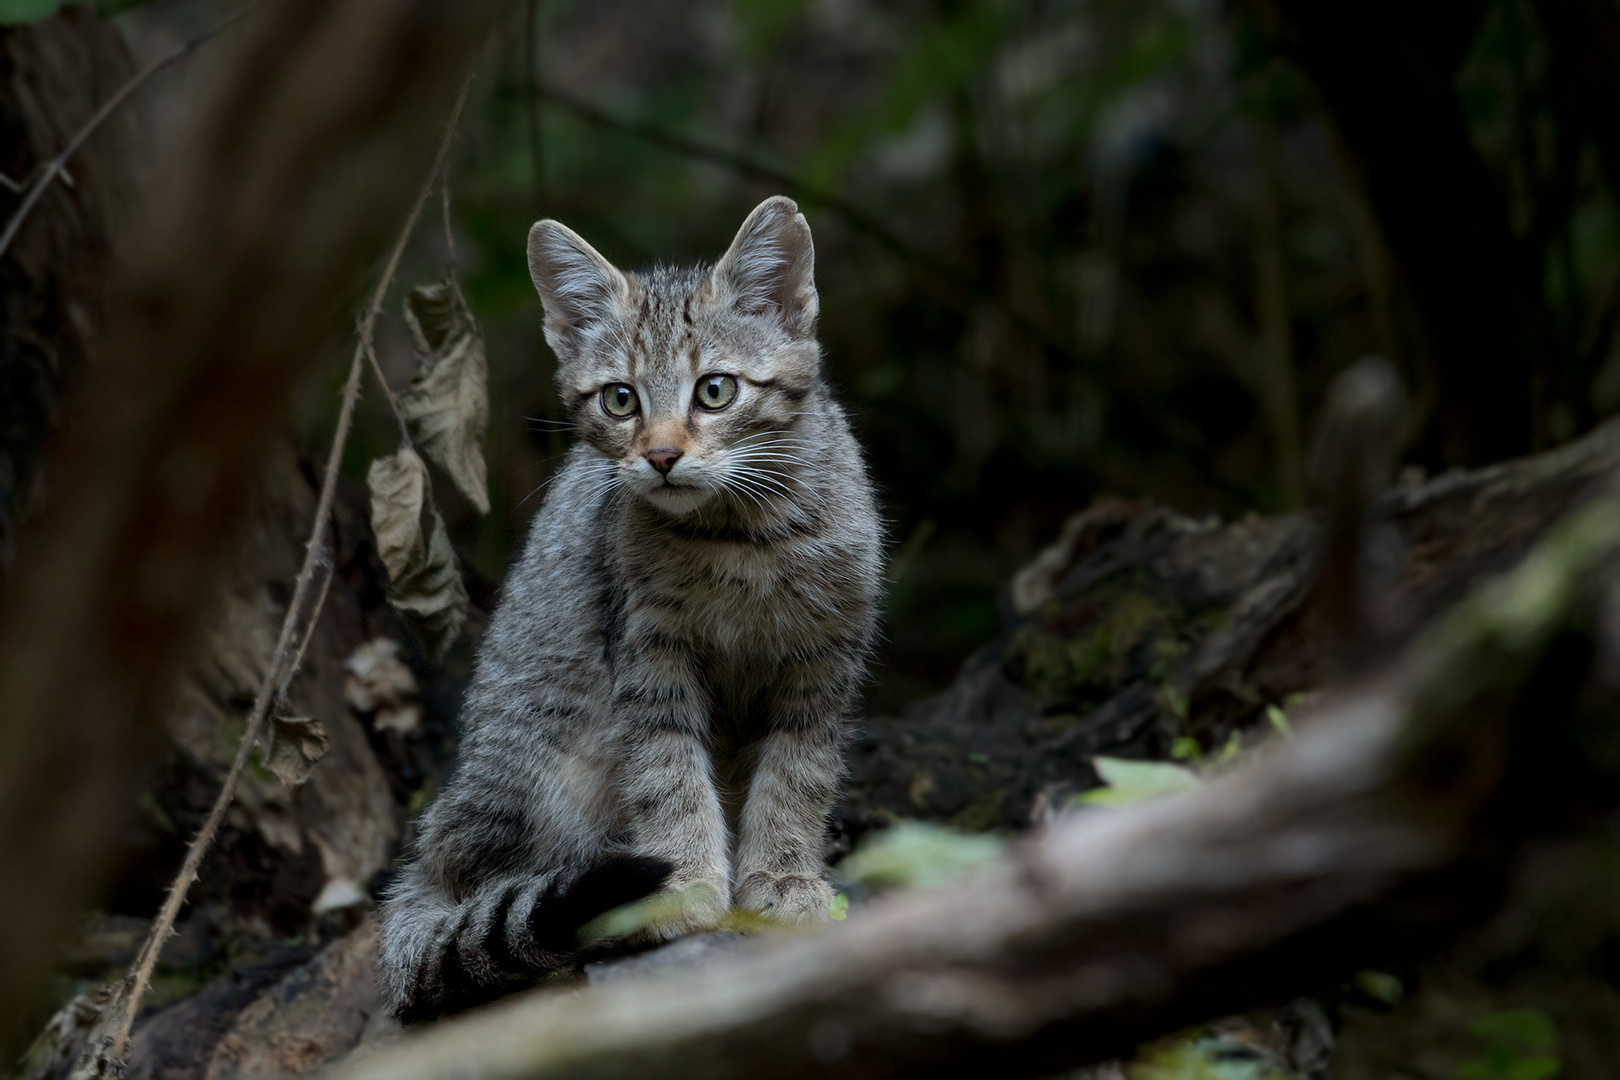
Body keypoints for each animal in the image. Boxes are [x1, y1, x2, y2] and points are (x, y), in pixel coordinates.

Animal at [375, 196, 887, 1023]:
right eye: (621, 400)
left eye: (715, 391)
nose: (661, 455)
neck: (741, 539)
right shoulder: (649, 660)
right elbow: (669, 775)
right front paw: (685, 884)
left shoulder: (823, 661)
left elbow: (798, 776)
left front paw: (781, 876)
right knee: (477, 891)